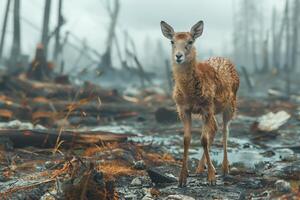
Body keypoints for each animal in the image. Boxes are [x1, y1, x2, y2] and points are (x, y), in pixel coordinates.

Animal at [161, 20, 240, 186]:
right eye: (172, 41)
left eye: (190, 41)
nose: (178, 56)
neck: (190, 94)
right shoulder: (183, 109)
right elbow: (186, 139)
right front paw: (182, 178)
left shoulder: (206, 107)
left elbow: (203, 139)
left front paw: (211, 178)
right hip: (214, 109)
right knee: (215, 128)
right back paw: (199, 169)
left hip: (230, 104)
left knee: (225, 131)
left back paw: (224, 169)